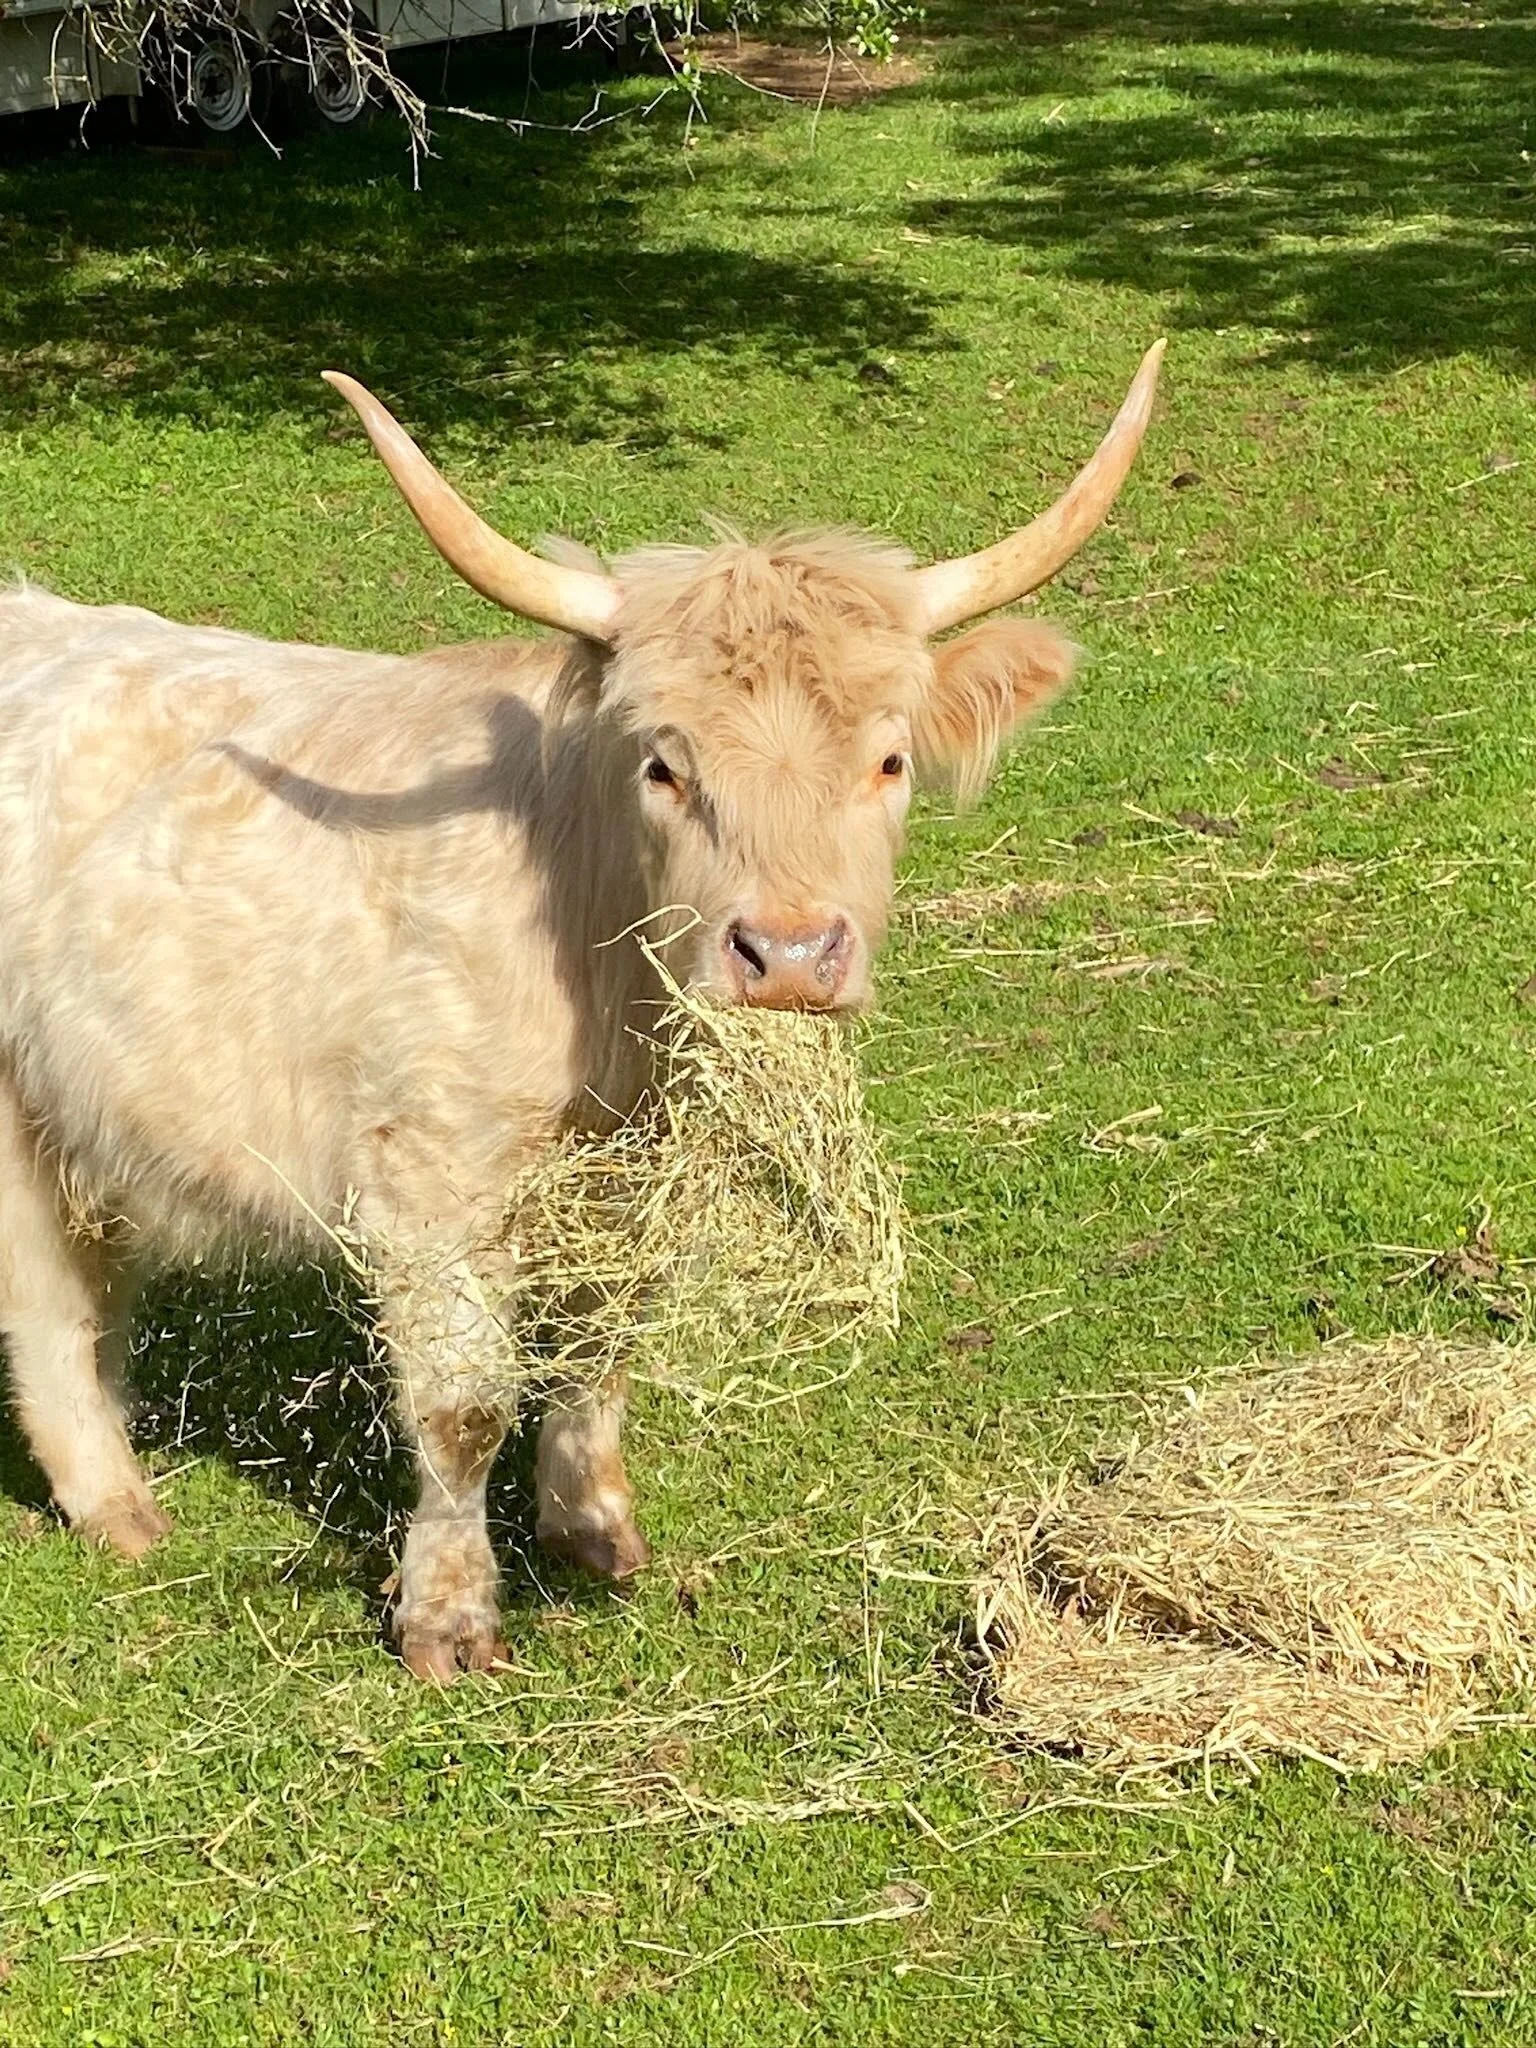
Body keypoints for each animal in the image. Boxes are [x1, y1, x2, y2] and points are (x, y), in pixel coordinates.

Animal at [0, 342, 1162, 1679]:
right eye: (665, 763)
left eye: (889, 760)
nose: (789, 954)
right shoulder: (429, 1174)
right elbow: (462, 1399)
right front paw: (449, 1615)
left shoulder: (638, 1176)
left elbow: (606, 1341)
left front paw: (592, 1523)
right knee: (41, 1300)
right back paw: (118, 1506)